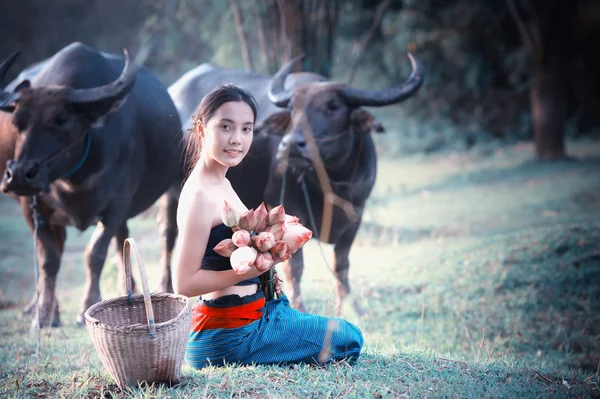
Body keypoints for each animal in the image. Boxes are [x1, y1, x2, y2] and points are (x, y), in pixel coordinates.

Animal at [0, 42, 183, 328]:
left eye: (61, 118)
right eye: (17, 122)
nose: (19, 174)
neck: (74, 175)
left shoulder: (117, 204)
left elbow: (94, 253)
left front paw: (86, 305)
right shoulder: (31, 205)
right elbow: (47, 258)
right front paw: (43, 316)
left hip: (172, 186)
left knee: (166, 234)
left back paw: (161, 287)